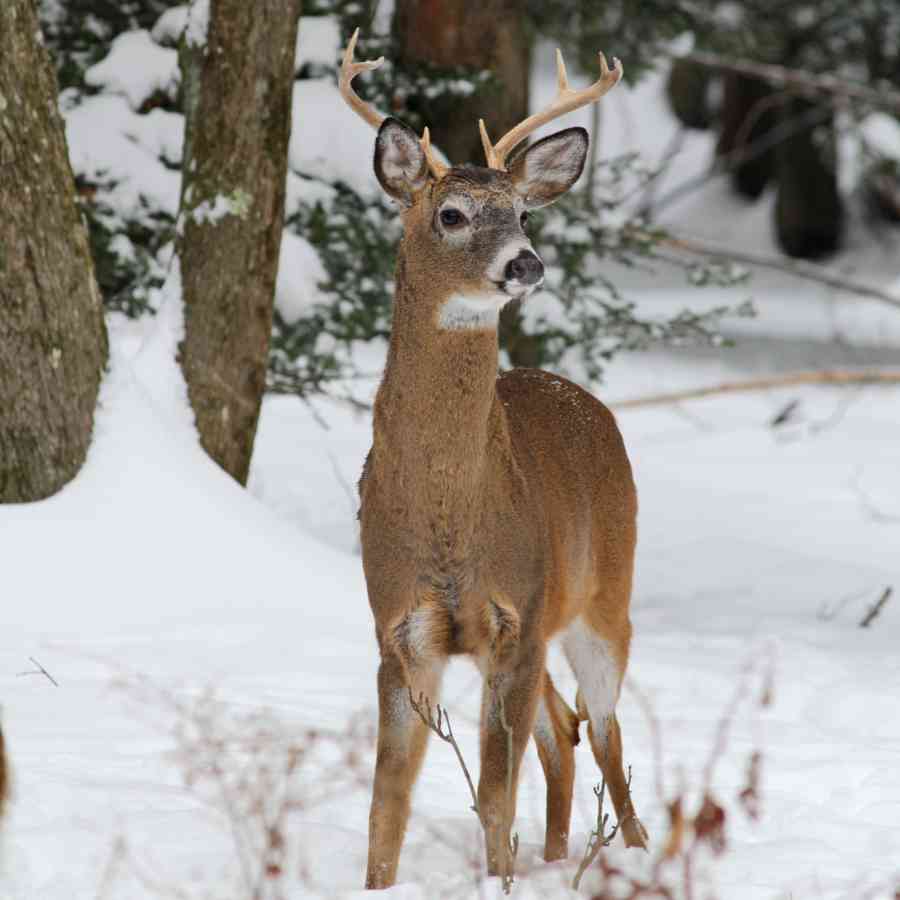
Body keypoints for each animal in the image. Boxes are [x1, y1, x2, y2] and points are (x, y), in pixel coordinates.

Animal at [342, 31, 648, 888]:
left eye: (521, 212)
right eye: (450, 214)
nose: (525, 262)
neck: (450, 517)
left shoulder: (517, 615)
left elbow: (494, 794)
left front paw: (498, 879)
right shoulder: (398, 632)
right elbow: (388, 802)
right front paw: (379, 887)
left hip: (602, 595)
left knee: (603, 730)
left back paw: (637, 856)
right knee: (562, 733)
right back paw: (555, 856)